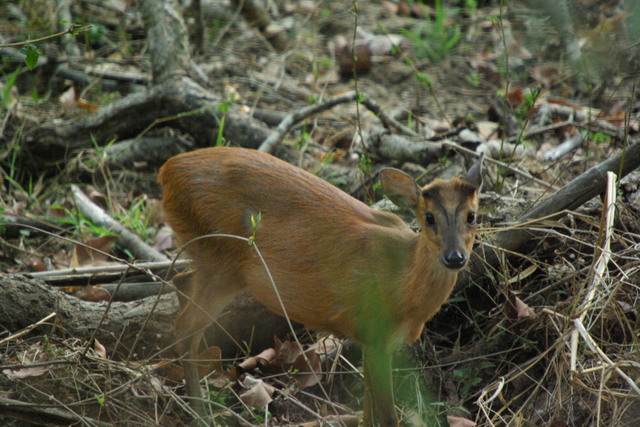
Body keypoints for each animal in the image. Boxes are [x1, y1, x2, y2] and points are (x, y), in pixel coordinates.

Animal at [158, 146, 483, 426]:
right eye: (429, 218)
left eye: (472, 216)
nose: (455, 257)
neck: (403, 283)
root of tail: (167, 170)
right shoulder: (373, 329)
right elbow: (387, 414)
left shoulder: (372, 340)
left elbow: (368, 407)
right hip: (223, 258)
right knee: (184, 327)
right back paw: (201, 414)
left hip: (211, 259)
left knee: (181, 281)